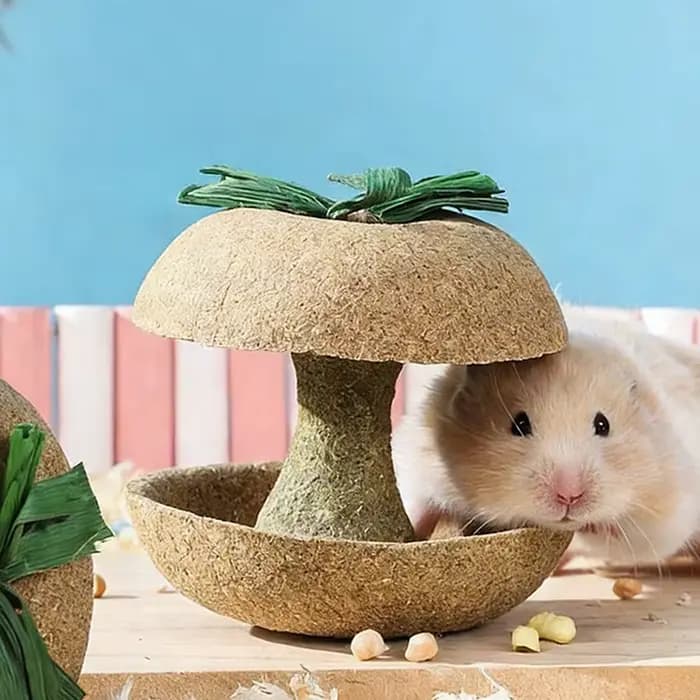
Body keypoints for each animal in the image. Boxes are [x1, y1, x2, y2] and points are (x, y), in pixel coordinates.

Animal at [392, 306, 700, 566]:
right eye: (519, 425)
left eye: (603, 425)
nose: (569, 496)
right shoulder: (421, 457)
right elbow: (416, 503)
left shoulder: (670, 510)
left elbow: (632, 538)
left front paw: (594, 524)